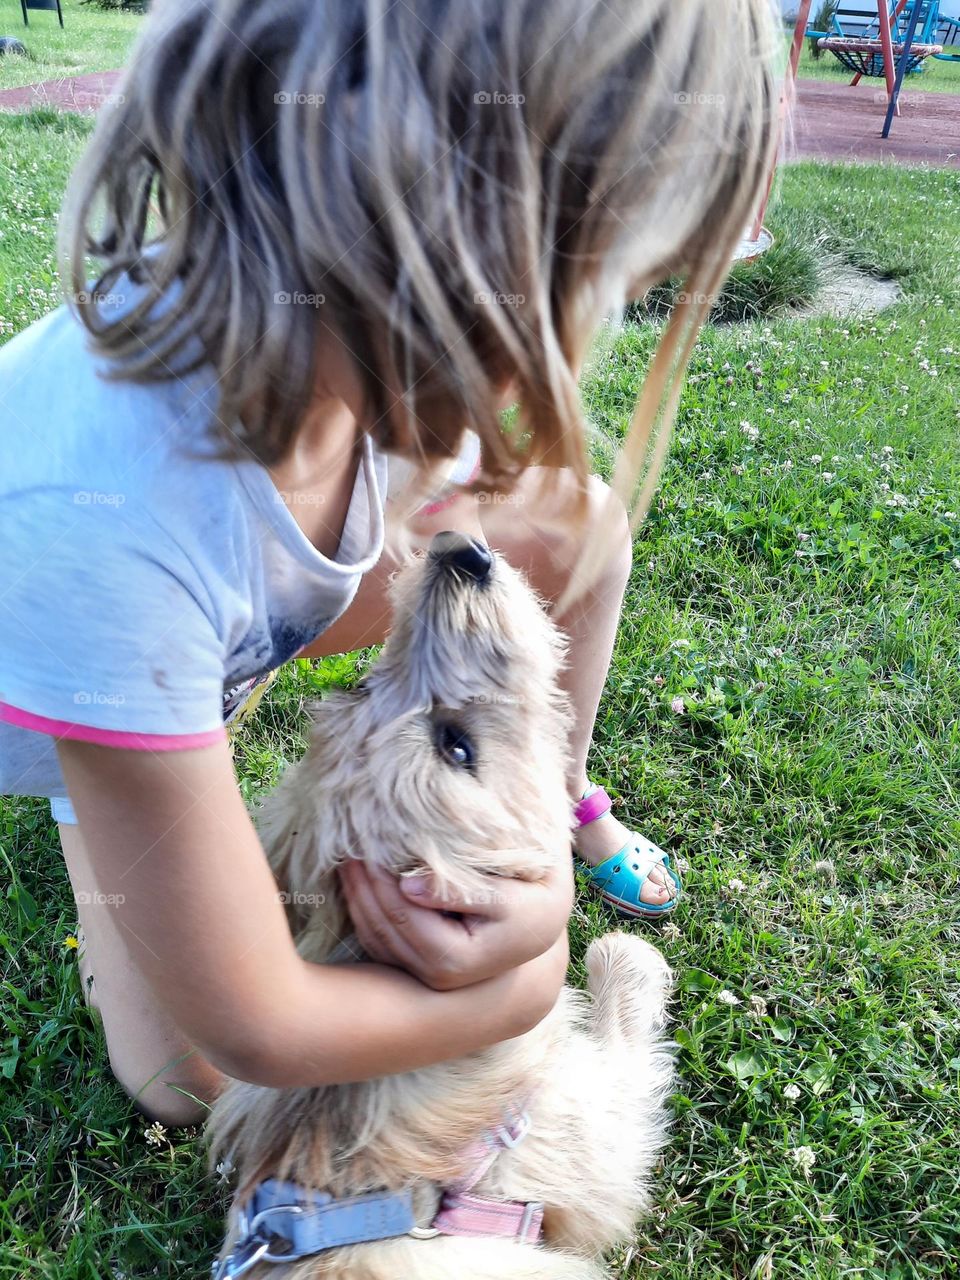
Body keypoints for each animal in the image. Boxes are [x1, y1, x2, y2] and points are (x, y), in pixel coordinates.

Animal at [209, 532, 675, 1280]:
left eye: (361, 685)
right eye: (455, 745)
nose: (465, 552)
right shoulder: (596, 1136)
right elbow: (622, 1025)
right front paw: (626, 959)